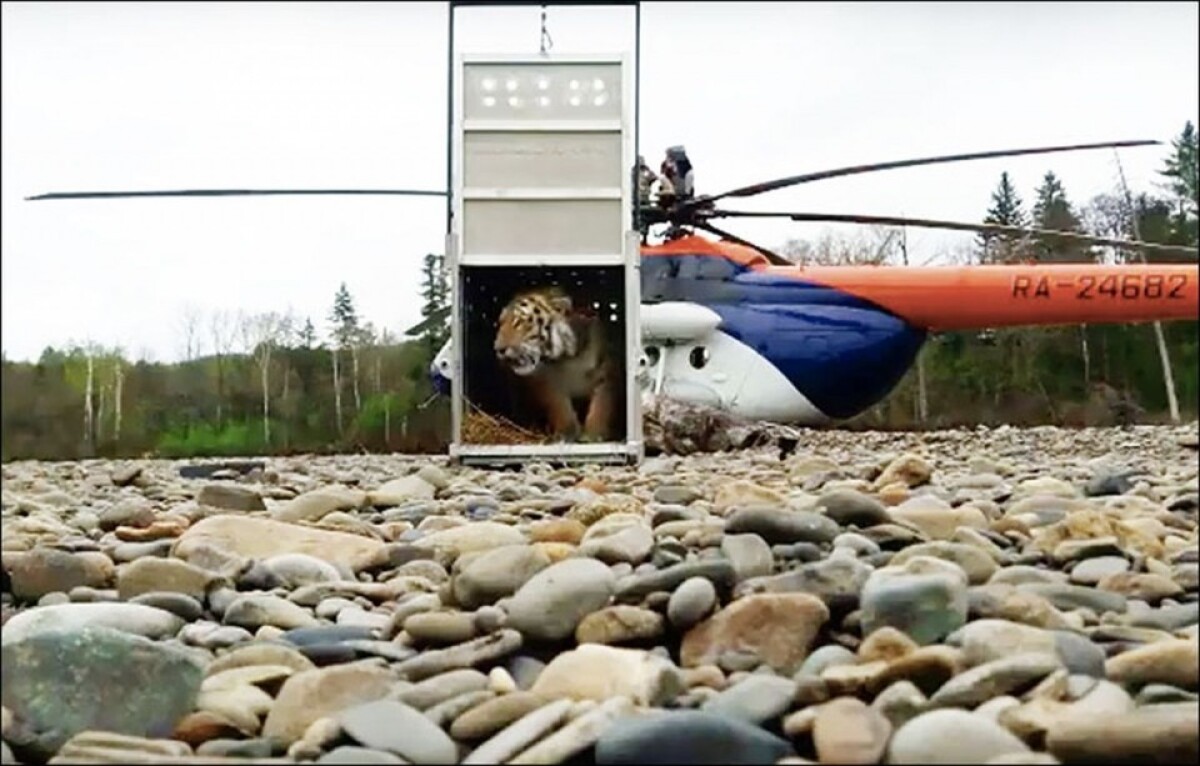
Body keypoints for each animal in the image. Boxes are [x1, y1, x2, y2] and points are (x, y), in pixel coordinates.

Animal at [493, 286, 617, 442]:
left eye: (519, 323)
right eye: (500, 323)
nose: (498, 349)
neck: (568, 358)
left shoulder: (606, 373)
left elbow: (601, 407)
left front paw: (594, 435)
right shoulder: (547, 381)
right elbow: (560, 408)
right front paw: (567, 433)